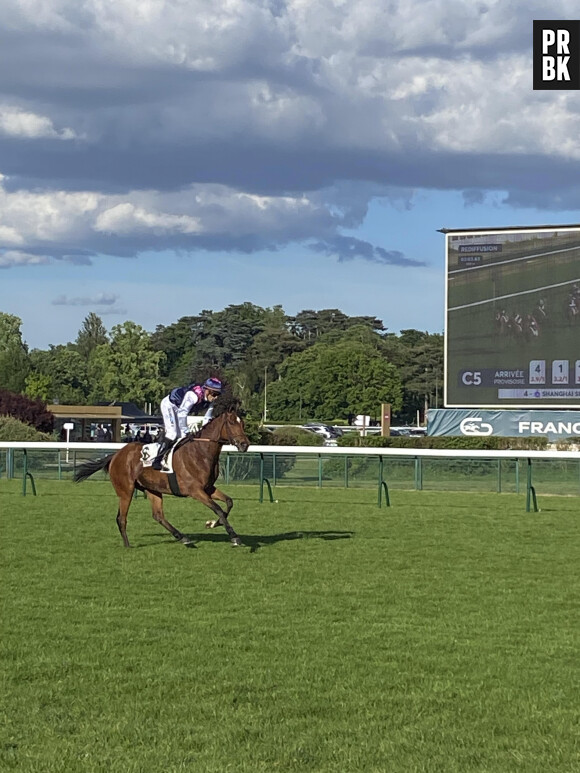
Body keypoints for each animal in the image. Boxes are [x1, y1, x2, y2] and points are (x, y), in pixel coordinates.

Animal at [73, 398, 250, 548]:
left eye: (242, 423)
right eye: (232, 422)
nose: (245, 444)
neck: (200, 452)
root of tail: (116, 455)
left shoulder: (208, 488)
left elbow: (229, 502)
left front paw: (213, 523)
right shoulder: (195, 491)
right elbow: (218, 508)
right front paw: (234, 537)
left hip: (152, 489)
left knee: (158, 515)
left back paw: (183, 538)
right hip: (126, 491)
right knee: (121, 518)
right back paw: (128, 545)